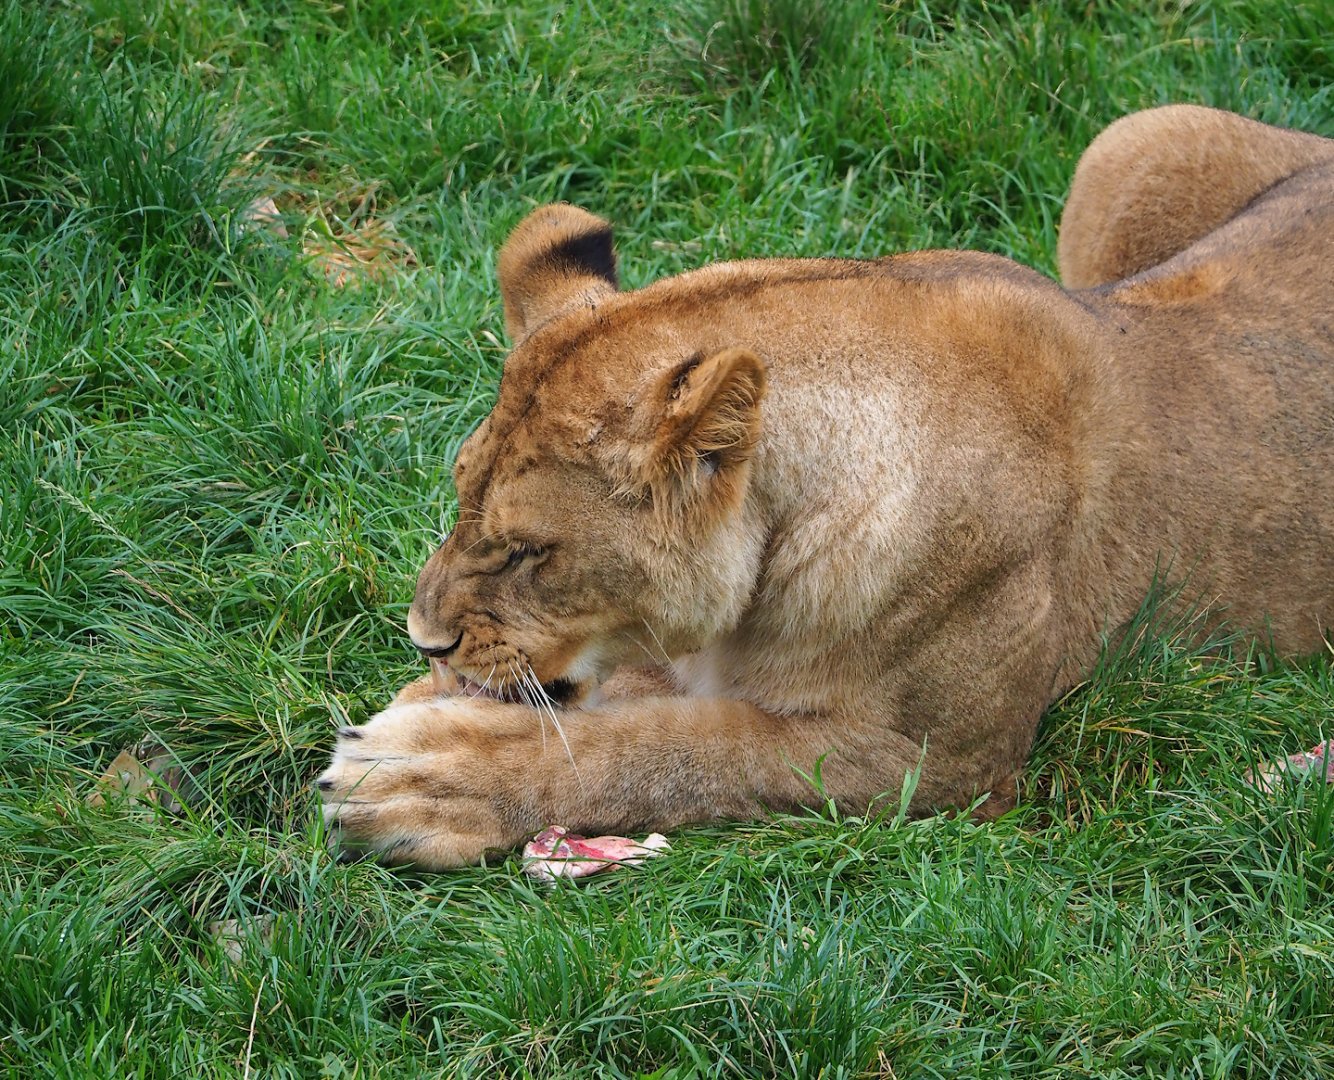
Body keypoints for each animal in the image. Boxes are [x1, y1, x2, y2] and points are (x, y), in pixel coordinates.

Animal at [319, 105, 1334, 869]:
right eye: (458, 497)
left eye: (531, 550)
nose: (422, 638)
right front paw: (429, 703)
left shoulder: (934, 765)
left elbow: (680, 747)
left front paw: (427, 772)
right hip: (1131, 142)